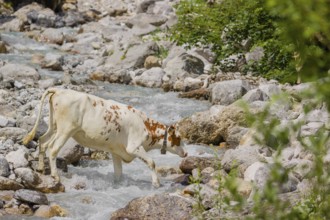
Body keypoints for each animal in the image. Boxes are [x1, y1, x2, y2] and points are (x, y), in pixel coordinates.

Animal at [22, 87, 187, 187]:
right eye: (179, 138)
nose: (186, 153)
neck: (145, 125)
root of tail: (59, 90)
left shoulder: (117, 151)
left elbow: (118, 173)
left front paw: (118, 185)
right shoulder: (133, 147)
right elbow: (152, 162)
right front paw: (156, 183)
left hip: (54, 126)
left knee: (42, 142)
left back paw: (41, 168)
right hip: (66, 130)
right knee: (53, 148)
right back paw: (56, 176)